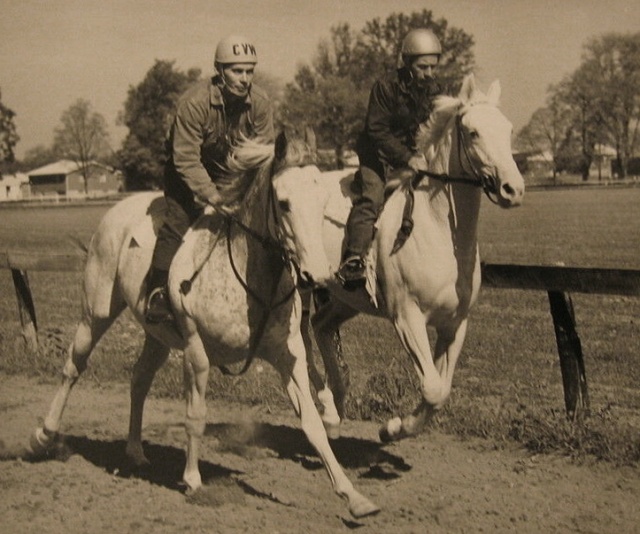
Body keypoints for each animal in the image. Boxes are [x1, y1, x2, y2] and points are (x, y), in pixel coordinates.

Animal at [28, 131, 381, 518]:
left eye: (321, 203)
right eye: (284, 203)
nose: (317, 275)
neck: (247, 277)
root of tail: (118, 212)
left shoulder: (288, 355)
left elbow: (313, 425)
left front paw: (353, 496)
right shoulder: (196, 353)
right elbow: (195, 415)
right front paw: (193, 479)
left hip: (158, 336)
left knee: (139, 380)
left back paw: (135, 451)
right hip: (96, 313)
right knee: (73, 367)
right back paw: (43, 435)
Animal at [304, 74, 525, 442]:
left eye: (507, 130)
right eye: (474, 132)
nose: (513, 189)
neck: (437, 229)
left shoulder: (454, 324)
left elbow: (439, 391)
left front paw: (396, 427)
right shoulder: (407, 317)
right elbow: (432, 389)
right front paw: (391, 429)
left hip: (346, 299)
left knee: (320, 327)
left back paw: (334, 411)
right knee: (300, 341)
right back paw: (325, 406)